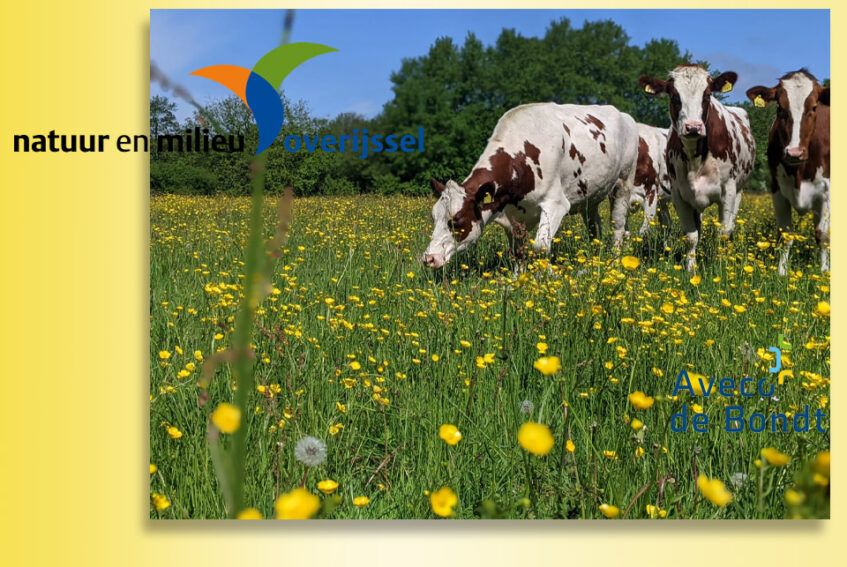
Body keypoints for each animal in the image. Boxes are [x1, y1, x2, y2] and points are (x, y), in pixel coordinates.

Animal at [422, 103, 636, 270]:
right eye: (434, 217)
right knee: (594, 227)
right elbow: (518, 252)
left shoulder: (555, 204)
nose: (429, 258)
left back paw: (616, 260)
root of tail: (624, 115)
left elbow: (540, 247)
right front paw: (518, 281)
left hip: (623, 183)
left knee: (618, 226)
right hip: (590, 195)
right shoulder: (512, 215)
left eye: (456, 220)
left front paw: (547, 278)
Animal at [640, 66, 760, 270]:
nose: (693, 127)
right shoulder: (679, 194)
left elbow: (723, 233)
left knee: (730, 227)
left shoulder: (728, 191)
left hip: (739, 191)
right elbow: (691, 236)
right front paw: (690, 268)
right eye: (674, 95)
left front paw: (720, 265)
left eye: (707, 94)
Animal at [744, 70, 832, 276]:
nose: (794, 153)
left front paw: (824, 272)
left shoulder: (827, 191)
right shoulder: (777, 189)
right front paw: (781, 272)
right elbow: (785, 234)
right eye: (780, 107)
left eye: (814, 107)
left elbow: (823, 234)